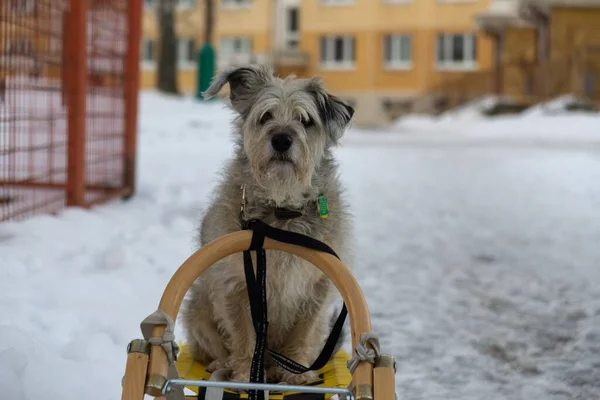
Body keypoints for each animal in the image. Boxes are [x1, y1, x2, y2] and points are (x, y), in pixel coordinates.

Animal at [180, 64, 354, 386]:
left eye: (305, 120)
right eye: (265, 117)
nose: (282, 139)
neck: (280, 208)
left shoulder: (318, 286)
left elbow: (303, 331)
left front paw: (298, 374)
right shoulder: (235, 284)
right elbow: (242, 334)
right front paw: (244, 374)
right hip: (196, 307)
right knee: (211, 346)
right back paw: (223, 365)